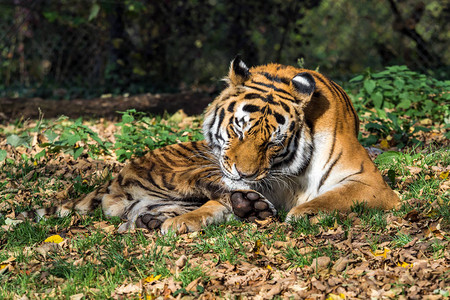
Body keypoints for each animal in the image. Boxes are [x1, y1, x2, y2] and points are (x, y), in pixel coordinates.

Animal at [19, 57, 400, 233]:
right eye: (239, 129)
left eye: (273, 143)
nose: (244, 173)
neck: (289, 175)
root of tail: (114, 179)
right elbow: (217, 204)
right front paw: (191, 222)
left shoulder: (369, 182)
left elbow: (332, 197)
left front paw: (302, 211)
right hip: (192, 167)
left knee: (139, 214)